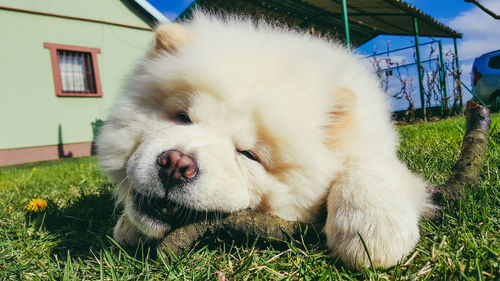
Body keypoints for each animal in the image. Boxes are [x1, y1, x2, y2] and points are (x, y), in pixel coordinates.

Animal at [97, 12, 434, 268]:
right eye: (182, 117)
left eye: (248, 154)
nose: (176, 164)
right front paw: (127, 226)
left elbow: (367, 164)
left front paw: (371, 233)